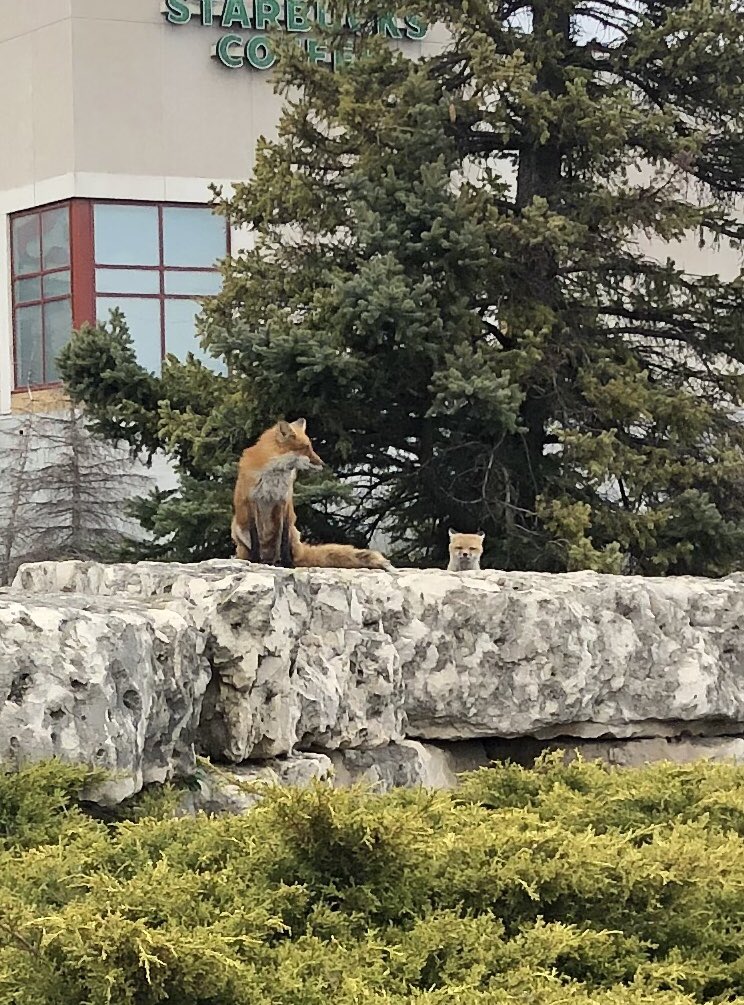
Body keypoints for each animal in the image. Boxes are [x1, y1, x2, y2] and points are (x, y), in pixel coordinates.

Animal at [232, 416, 396, 570]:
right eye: (305, 448)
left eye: (310, 447)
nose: (323, 464)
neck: (274, 475)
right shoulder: (250, 500)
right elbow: (255, 537)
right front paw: (254, 560)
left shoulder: (284, 501)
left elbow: (282, 540)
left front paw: (286, 563)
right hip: (237, 528)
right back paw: (259, 560)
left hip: (293, 532)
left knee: (286, 552)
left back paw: (278, 561)